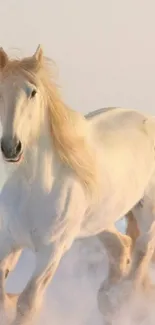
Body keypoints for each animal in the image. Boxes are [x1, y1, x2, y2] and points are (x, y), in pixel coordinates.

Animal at [0, 45, 155, 322]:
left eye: (32, 92)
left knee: (142, 250)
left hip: (146, 209)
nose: (11, 147)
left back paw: (124, 302)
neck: (33, 189)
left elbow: (28, 303)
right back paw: (108, 299)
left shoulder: (52, 251)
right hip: (99, 220)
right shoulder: (9, 239)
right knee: (121, 247)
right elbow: (2, 294)